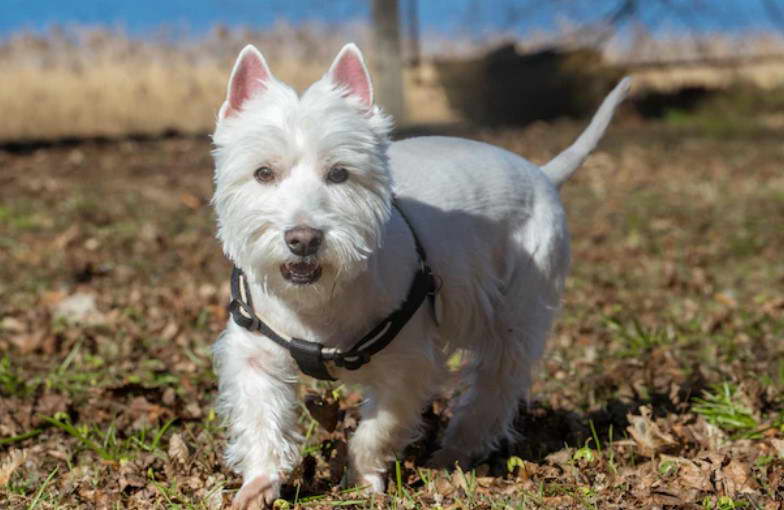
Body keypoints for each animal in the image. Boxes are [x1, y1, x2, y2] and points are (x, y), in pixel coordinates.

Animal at [210, 41, 632, 508]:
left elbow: (377, 431)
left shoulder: (407, 364)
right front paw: (257, 487)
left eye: (339, 173)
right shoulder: (255, 356)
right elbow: (261, 420)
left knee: (494, 389)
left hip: (517, 312)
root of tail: (542, 173)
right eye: (263, 173)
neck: (317, 302)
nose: (303, 239)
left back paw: (451, 456)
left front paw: (361, 483)